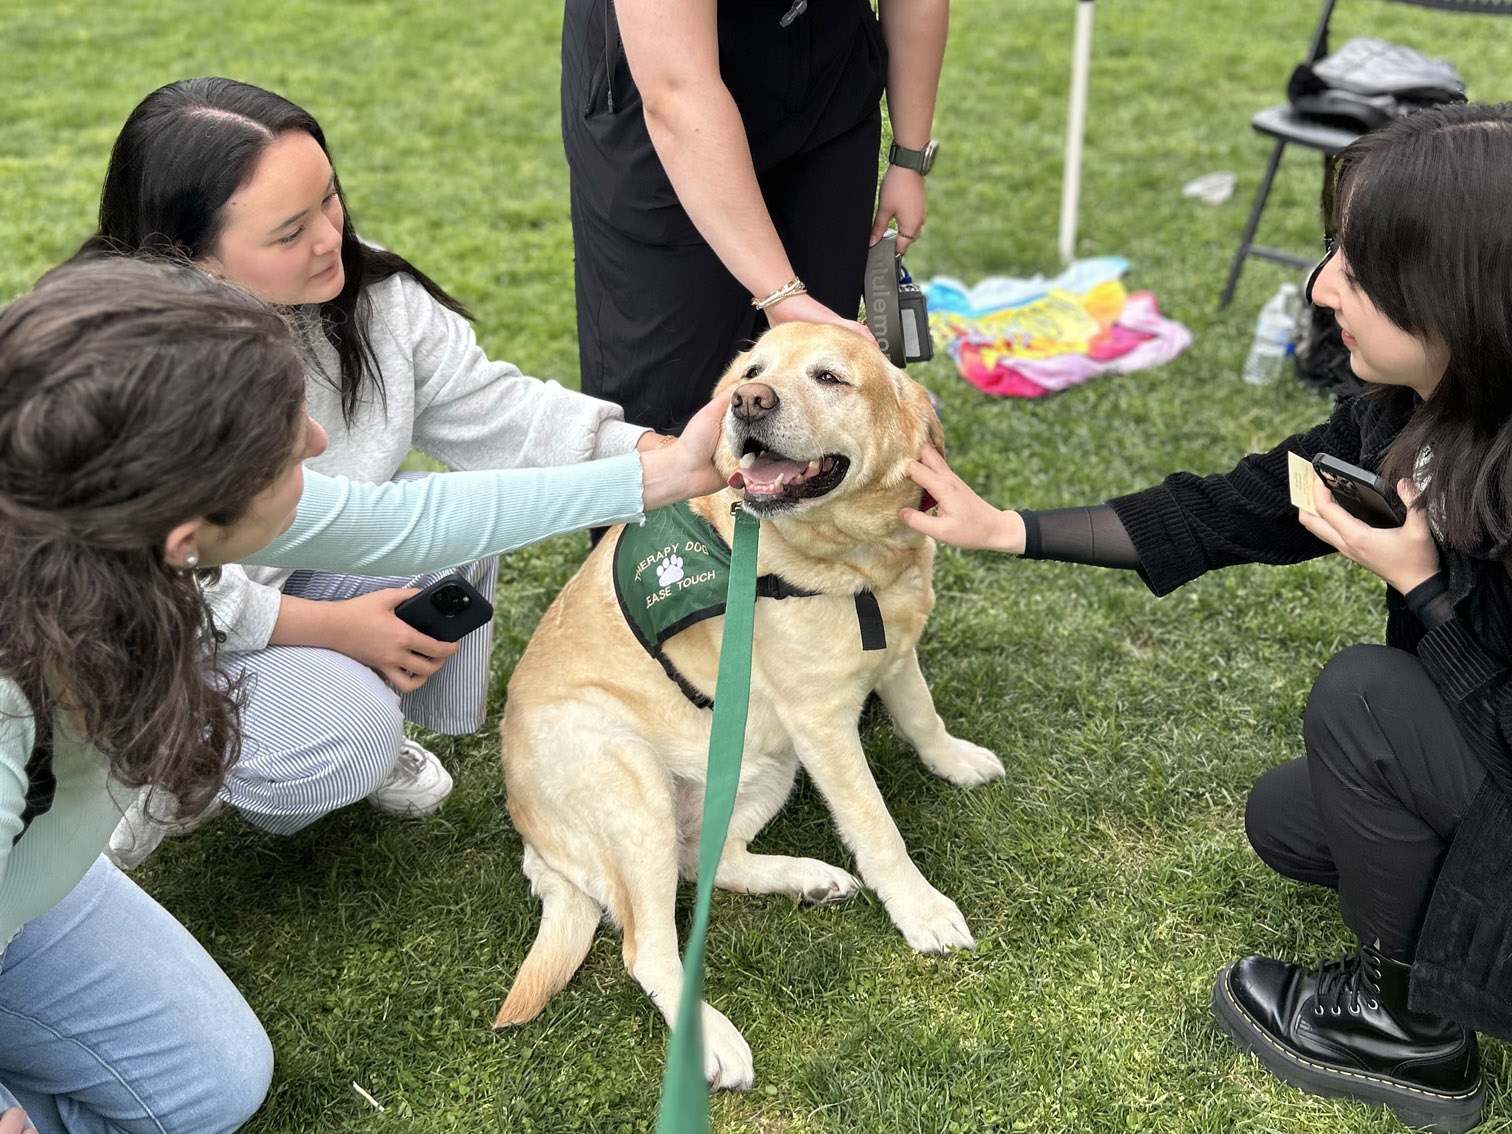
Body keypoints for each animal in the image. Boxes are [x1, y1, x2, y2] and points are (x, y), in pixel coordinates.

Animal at [489, 322, 997, 1094]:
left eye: (829, 377)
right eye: (753, 372)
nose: (747, 403)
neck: (855, 560)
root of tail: (534, 841)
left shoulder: (895, 653)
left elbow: (923, 718)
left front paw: (957, 762)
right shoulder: (823, 725)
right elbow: (877, 827)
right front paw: (921, 910)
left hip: (762, 764)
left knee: (705, 863)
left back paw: (811, 879)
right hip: (637, 790)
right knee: (648, 946)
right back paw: (714, 1040)